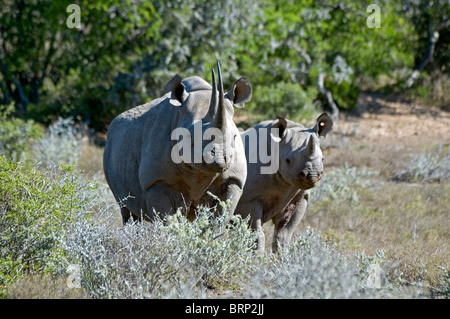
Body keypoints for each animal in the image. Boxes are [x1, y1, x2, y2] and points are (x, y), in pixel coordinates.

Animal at [103, 63, 253, 225]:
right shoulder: (156, 180)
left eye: (235, 136)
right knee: (127, 211)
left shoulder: (234, 179)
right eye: (190, 136)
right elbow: (167, 219)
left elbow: (219, 218)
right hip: (110, 147)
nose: (220, 159)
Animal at [236, 114, 334, 251]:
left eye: (323, 159)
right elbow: (256, 235)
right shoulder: (248, 200)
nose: (312, 175)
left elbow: (283, 236)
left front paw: (282, 256)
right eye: (288, 160)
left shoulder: (299, 197)